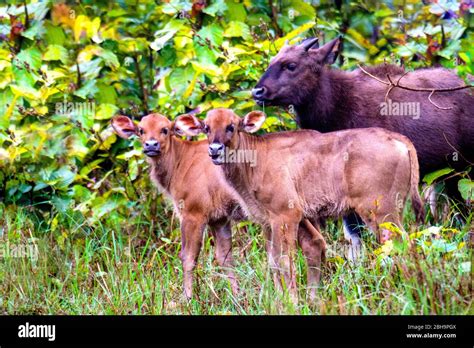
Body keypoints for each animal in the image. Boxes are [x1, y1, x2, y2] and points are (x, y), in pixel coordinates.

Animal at [112, 113, 244, 298]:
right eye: (141, 130)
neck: (179, 165)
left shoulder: (193, 213)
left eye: (165, 129)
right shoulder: (219, 218)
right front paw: (236, 296)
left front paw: (188, 298)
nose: (151, 145)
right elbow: (225, 257)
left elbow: (188, 257)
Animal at [176, 109, 424, 302]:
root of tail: (400, 140)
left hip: (381, 213)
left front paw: (292, 301)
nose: (215, 150)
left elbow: (285, 261)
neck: (255, 161)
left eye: (231, 126)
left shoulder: (286, 216)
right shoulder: (269, 222)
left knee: (399, 245)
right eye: (206, 127)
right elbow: (274, 261)